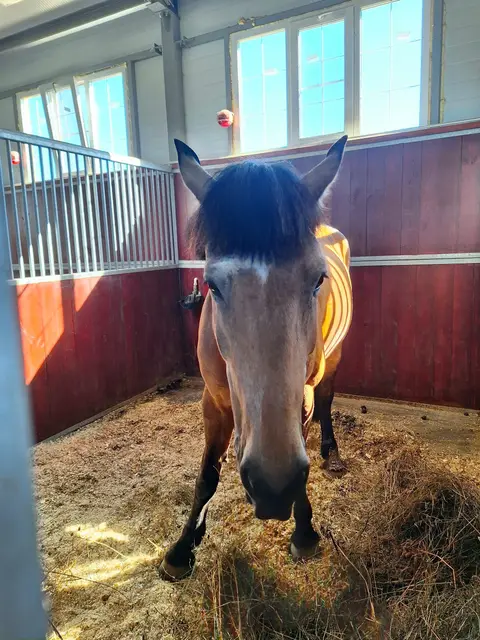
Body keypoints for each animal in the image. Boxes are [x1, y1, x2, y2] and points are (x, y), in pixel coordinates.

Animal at [159, 136, 353, 581]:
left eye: (318, 279)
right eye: (212, 285)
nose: (272, 488)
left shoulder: (301, 396)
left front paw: (304, 533)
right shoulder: (213, 400)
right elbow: (206, 477)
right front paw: (182, 548)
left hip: (333, 359)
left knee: (328, 399)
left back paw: (331, 451)